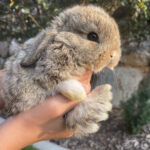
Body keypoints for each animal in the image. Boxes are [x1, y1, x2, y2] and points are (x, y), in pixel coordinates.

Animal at [0, 5, 120, 138]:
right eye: (92, 36)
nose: (113, 55)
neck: (68, 47)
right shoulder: (35, 82)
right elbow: (56, 86)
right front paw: (78, 92)